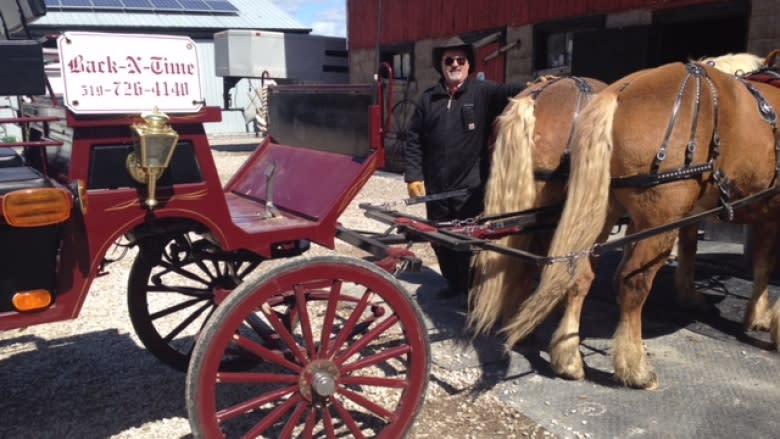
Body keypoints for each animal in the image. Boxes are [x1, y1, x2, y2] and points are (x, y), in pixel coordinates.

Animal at [500, 53, 780, 390]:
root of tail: (618, 92)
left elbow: (751, 261)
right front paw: (771, 322)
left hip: (601, 212)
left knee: (575, 273)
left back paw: (566, 357)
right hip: (657, 218)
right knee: (634, 283)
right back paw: (634, 367)